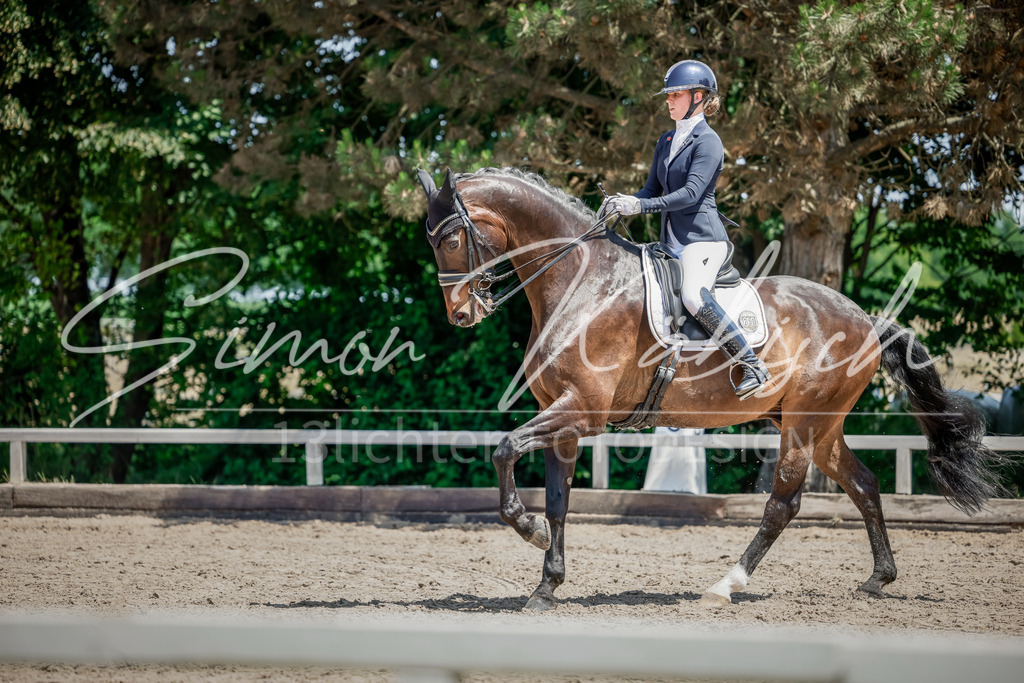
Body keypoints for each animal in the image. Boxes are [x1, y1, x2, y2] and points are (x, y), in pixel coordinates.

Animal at [416, 166, 1004, 612]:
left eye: (451, 239)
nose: (462, 313)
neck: (585, 283)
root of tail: (864, 318)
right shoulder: (562, 420)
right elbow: (559, 502)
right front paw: (545, 585)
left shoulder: (581, 412)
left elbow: (504, 448)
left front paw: (528, 529)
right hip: (818, 425)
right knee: (863, 484)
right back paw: (878, 578)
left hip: (804, 424)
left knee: (783, 504)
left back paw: (726, 585)